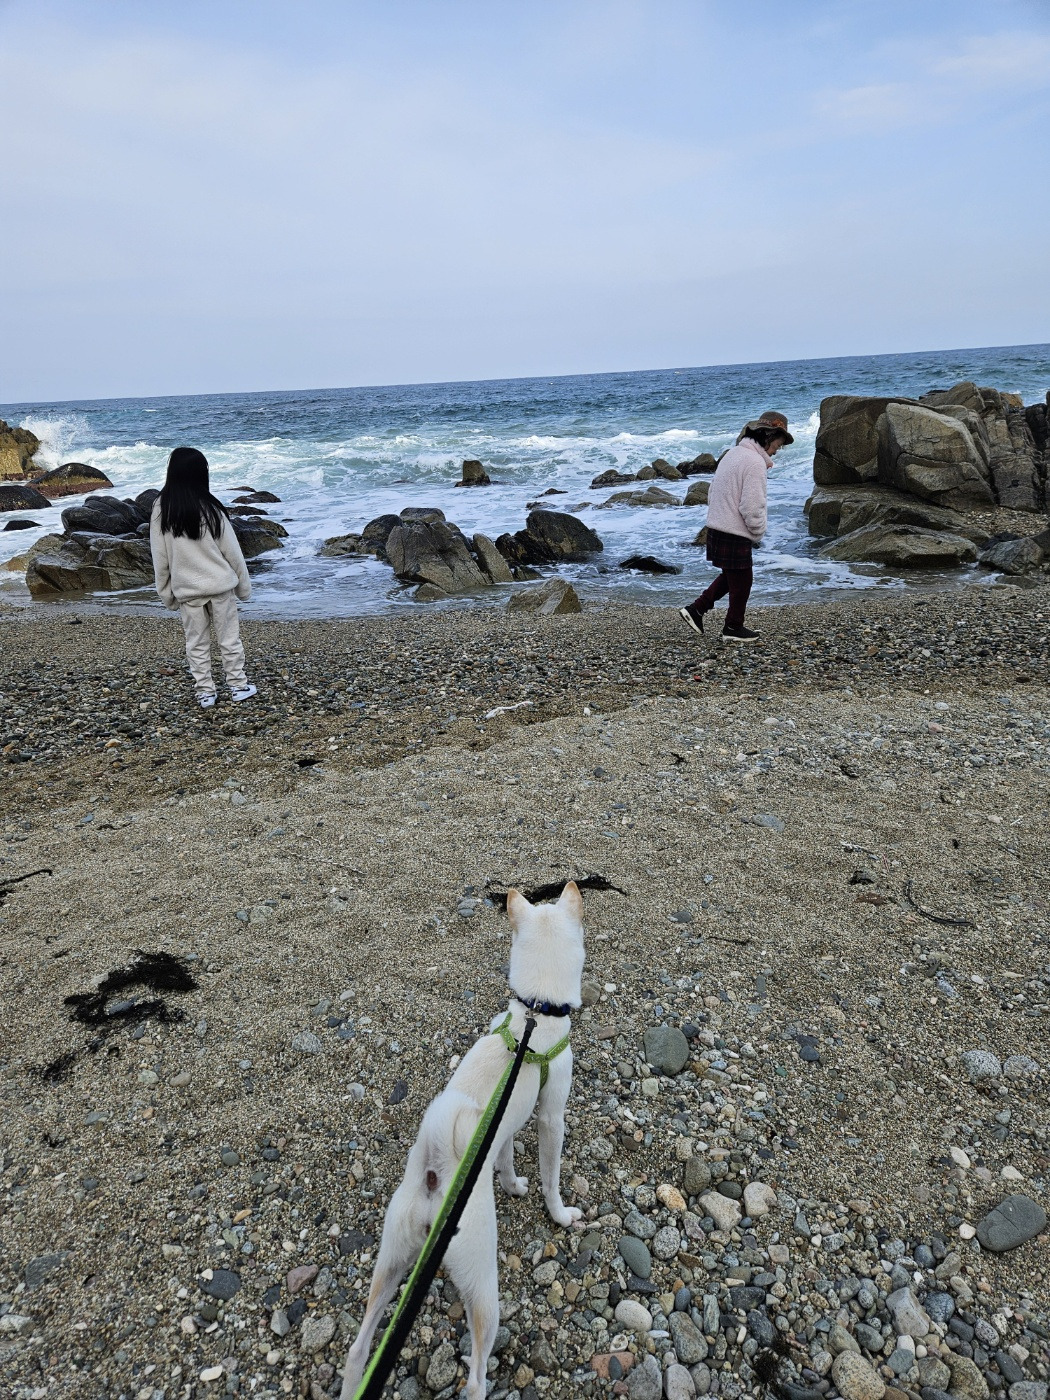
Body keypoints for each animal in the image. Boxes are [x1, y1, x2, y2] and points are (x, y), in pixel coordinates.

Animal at [339, 881, 586, 1400]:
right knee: (474, 1377)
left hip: (391, 1262)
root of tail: (436, 1177)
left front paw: (512, 1185)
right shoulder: (551, 1115)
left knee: (358, 1348)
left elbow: (507, 1159)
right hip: (482, 1287)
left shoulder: (504, 1126)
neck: (533, 1014)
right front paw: (560, 1215)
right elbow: (552, 1177)